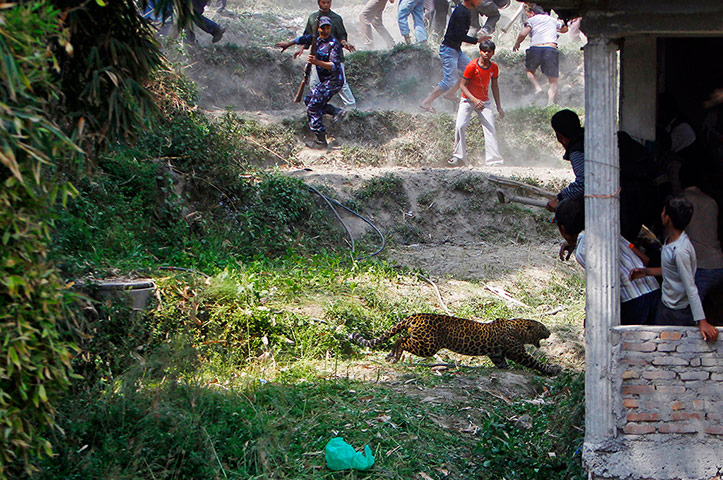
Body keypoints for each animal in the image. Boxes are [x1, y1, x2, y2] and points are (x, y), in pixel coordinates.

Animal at [349, 314, 561, 375]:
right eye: (542, 328)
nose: (550, 332)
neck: (517, 328)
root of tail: (415, 316)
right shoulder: (518, 352)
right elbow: (535, 362)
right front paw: (553, 369)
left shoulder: (496, 354)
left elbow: (501, 363)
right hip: (427, 345)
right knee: (401, 339)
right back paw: (394, 355)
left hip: (422, 341)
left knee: (400, 338)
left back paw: (392, 355)